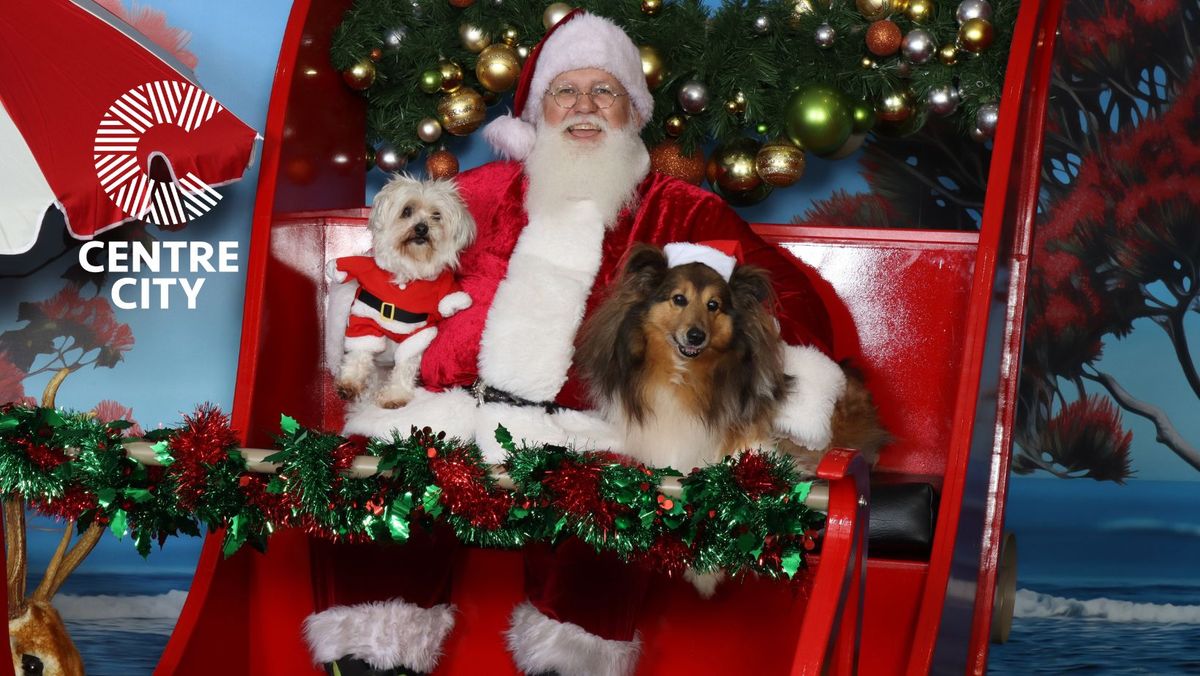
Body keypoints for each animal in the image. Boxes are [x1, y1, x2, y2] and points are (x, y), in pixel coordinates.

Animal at [331, 174, 480, 408]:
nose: (421, 228)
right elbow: (359, 351)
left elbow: (405, 365)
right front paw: (350, 381)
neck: (408, 273)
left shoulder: (418, 334)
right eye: (407, 211)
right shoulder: (364, 319)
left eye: (436, 215)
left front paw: (395, 394)